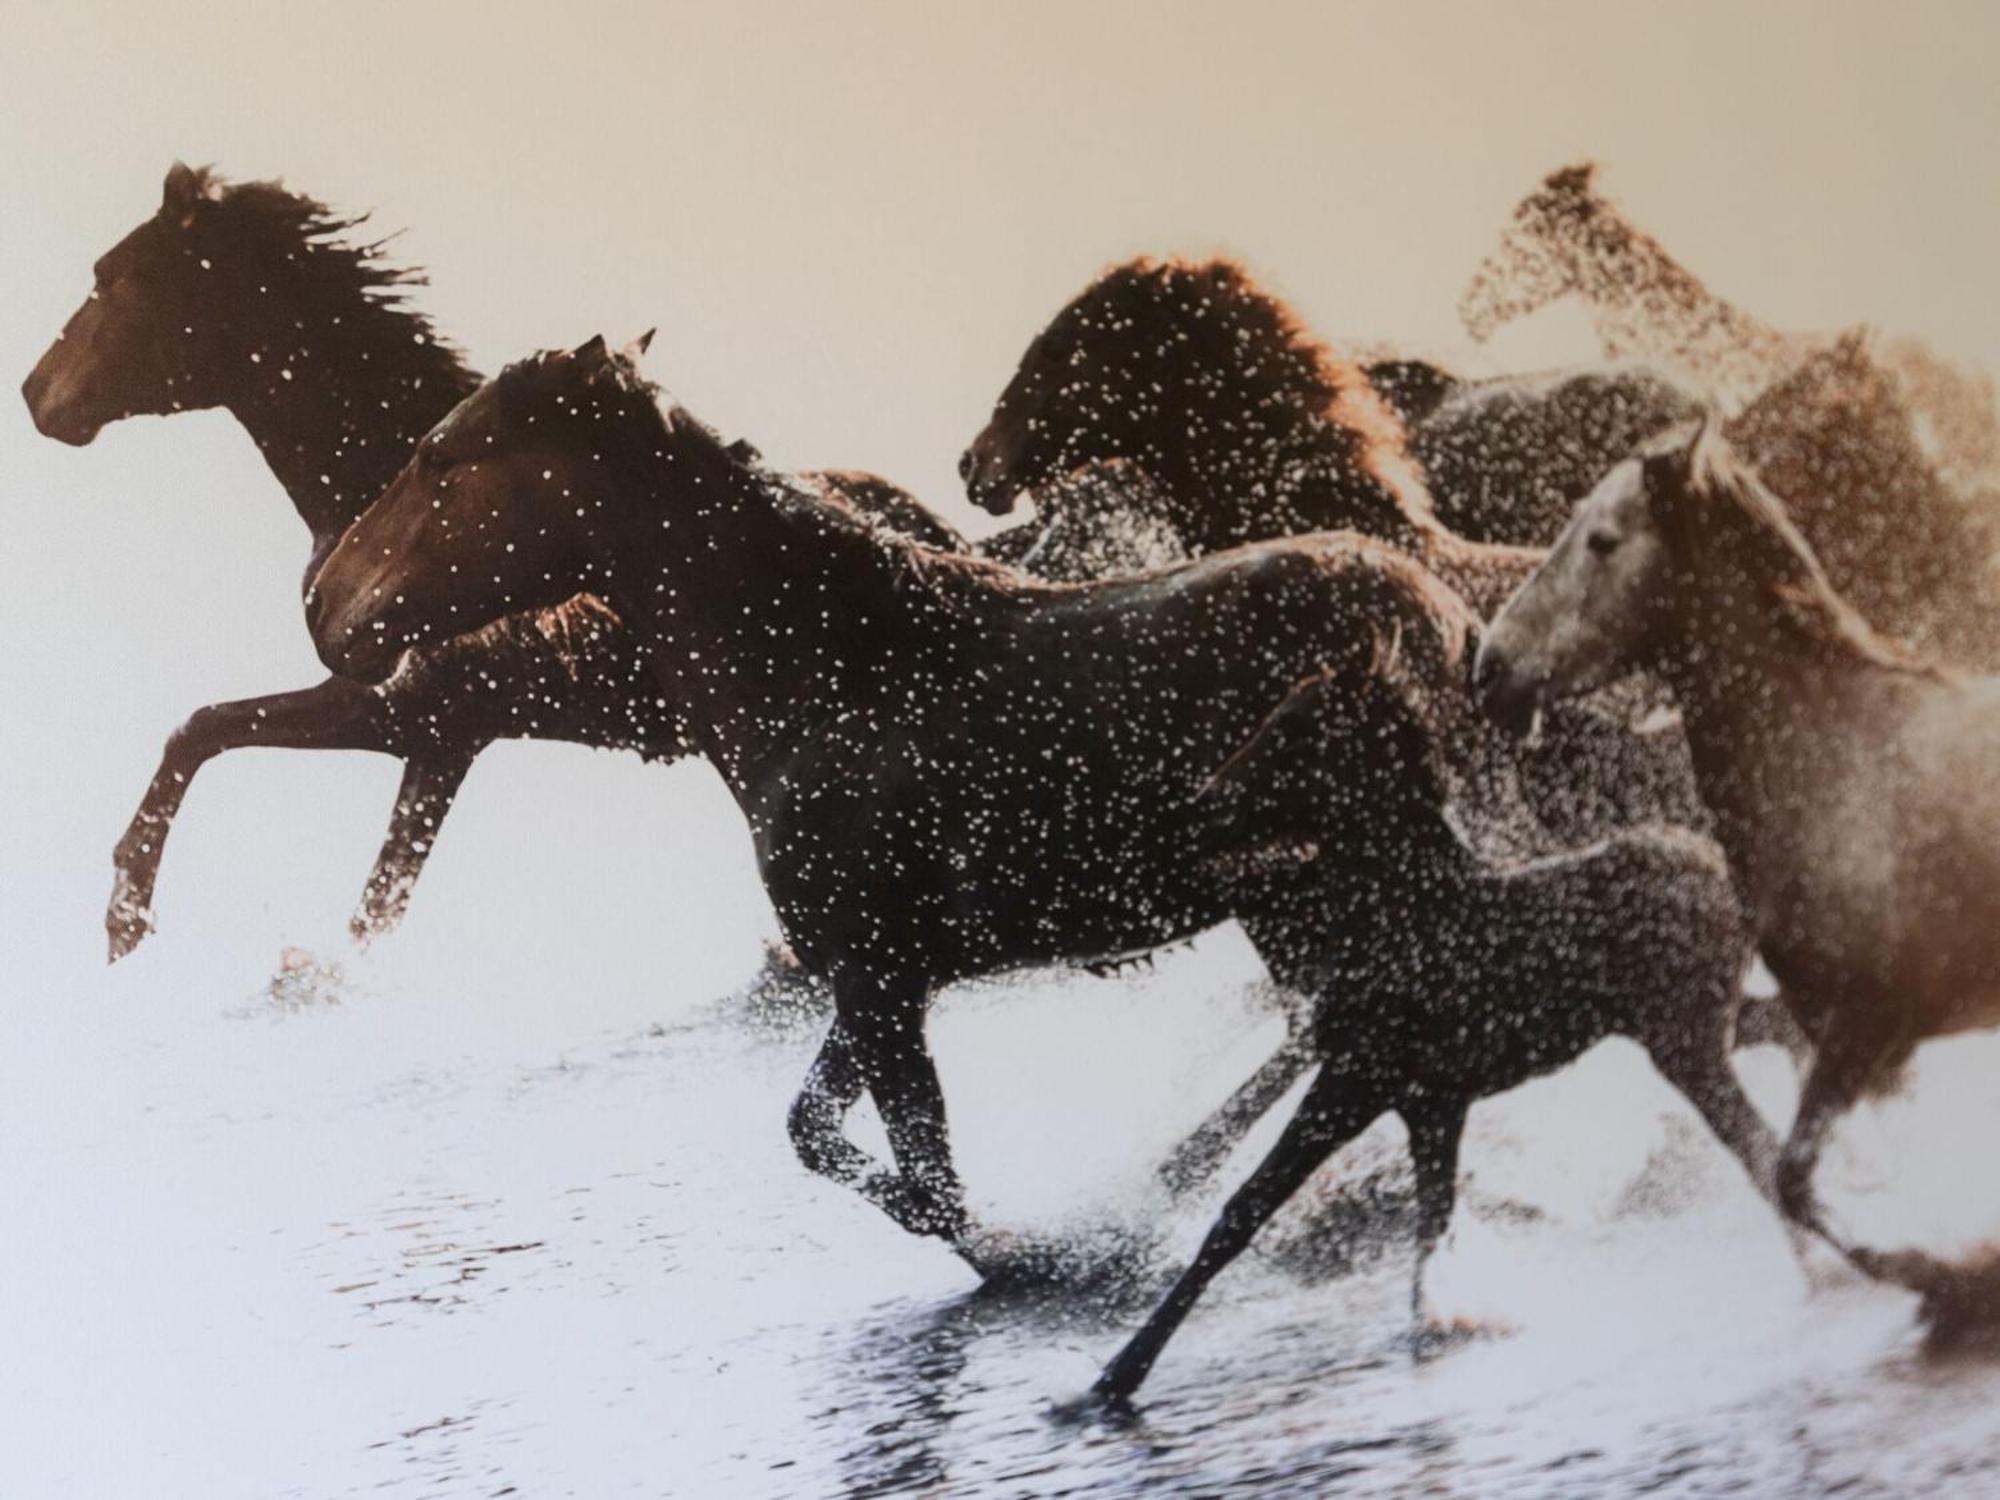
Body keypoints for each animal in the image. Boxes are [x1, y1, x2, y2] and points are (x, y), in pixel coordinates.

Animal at [1480, 424, 2000, 1336]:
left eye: (1603, 541)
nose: (1489, 666)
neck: (1837, 762)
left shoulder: (1872, 1020)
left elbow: (1794, 1174)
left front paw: (1940, 1271)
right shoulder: (1849, 1033)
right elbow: (1816, 1173)